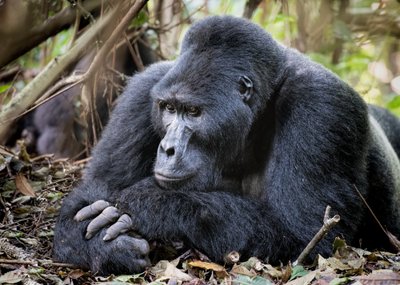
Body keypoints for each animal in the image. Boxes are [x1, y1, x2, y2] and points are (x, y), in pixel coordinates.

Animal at [52, 16, 400, 274]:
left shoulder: (322, 105)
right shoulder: (144, 89)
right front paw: (106, 249)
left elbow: (307, 237)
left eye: (193, 112)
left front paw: (150, 204)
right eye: (168, 109)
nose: (168, 148)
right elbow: (90, 195)